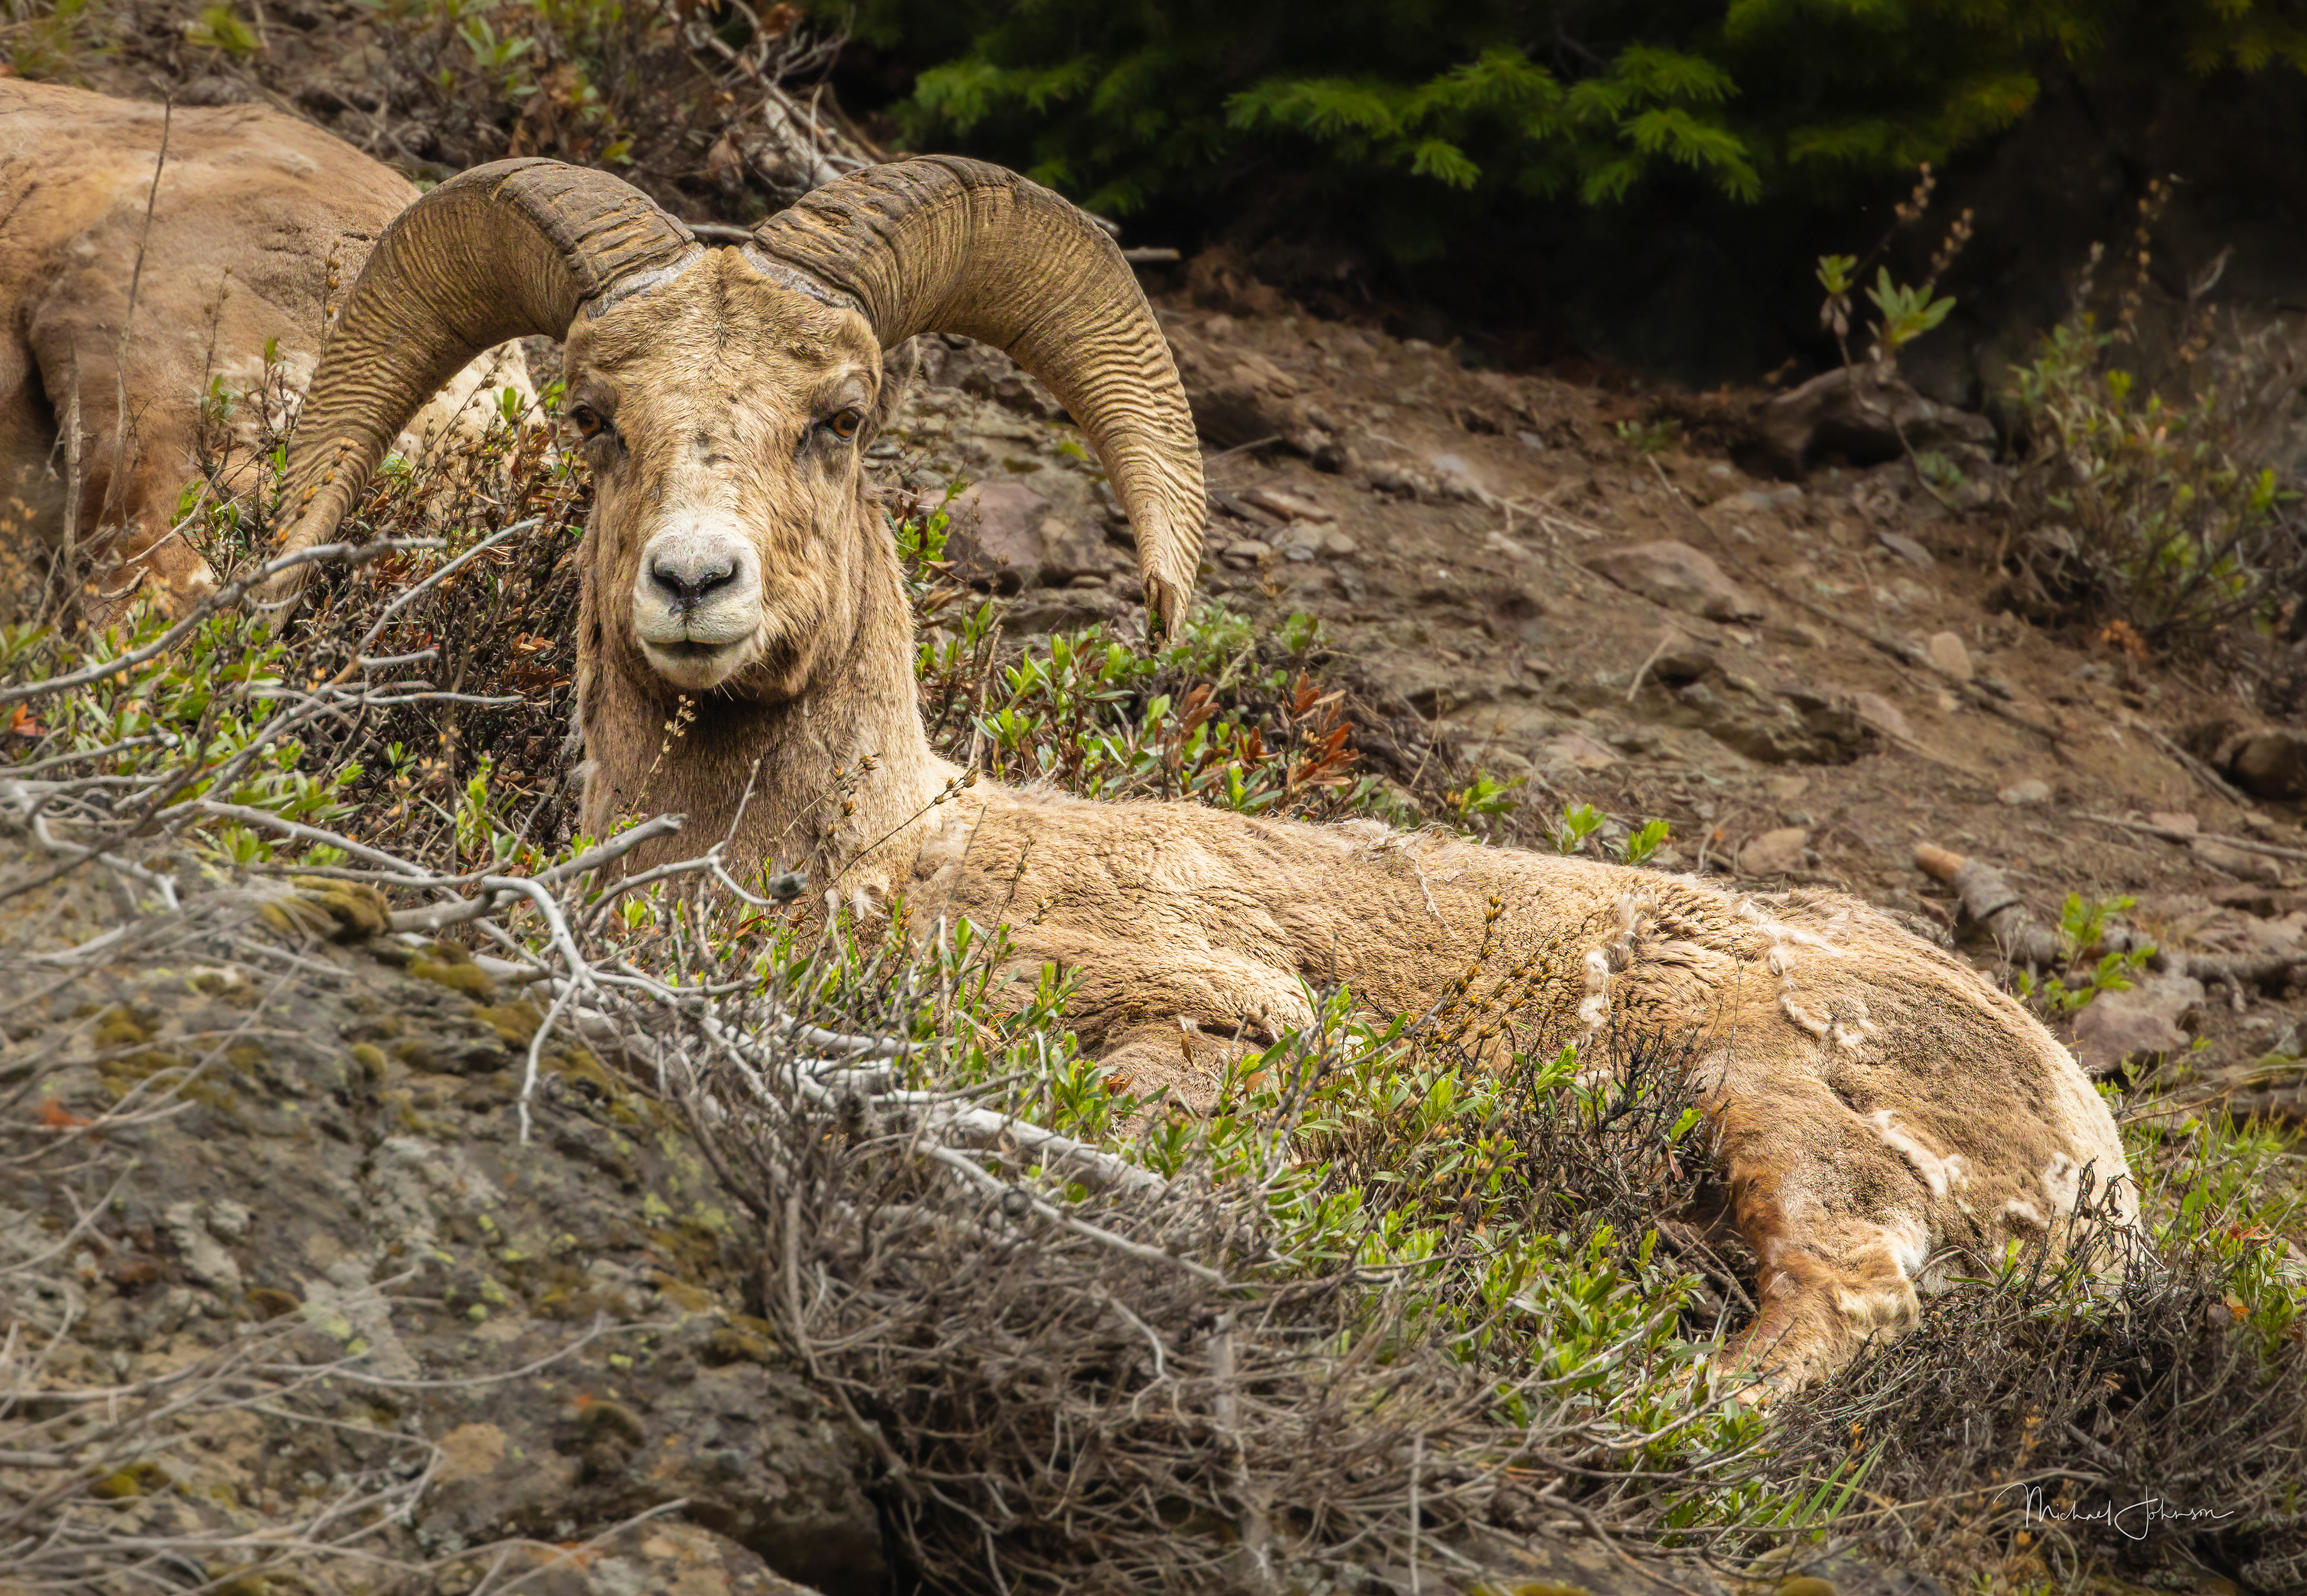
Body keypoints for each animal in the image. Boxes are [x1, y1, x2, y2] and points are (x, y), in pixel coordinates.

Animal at [263, 153, 2137, 1393]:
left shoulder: (1207, 1022)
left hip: (1755, 1092)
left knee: (1842, 1300)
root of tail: (2083, 1138)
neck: (858, 862)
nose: (694, 585)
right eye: (600, 421)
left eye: (839, 420)